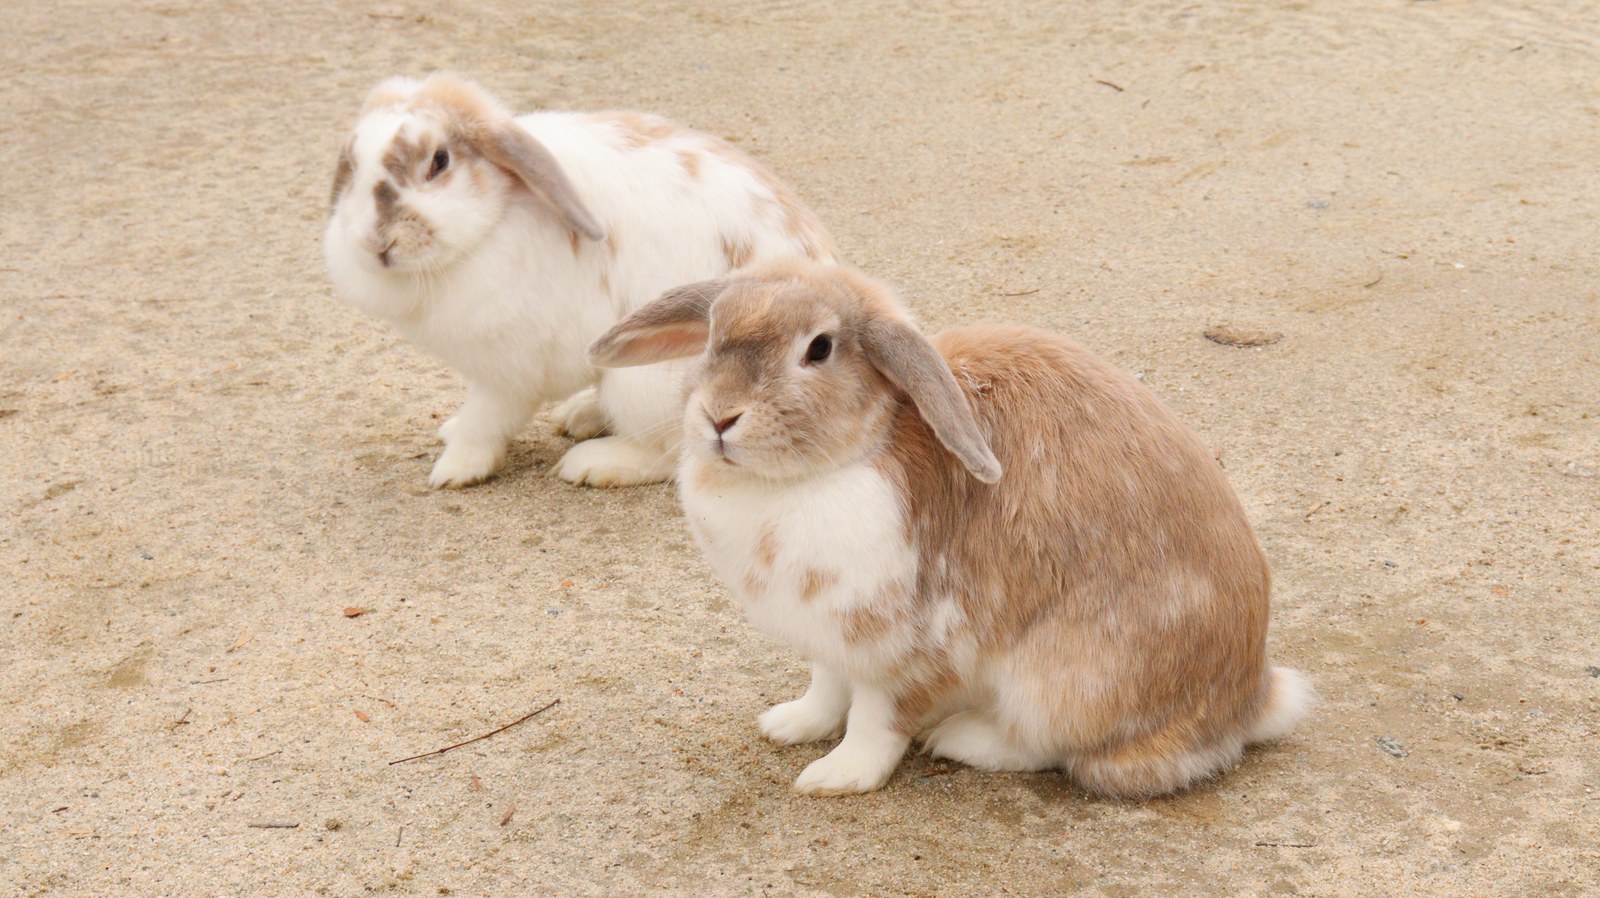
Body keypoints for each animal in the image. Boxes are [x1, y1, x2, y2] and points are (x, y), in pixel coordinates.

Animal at [323, 72, 836, 488]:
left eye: (439, 161)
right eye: (351, 166)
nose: (376, 243)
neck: (492, 224)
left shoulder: (508, 373)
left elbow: (486, 421)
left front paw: (454, 469)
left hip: (645, 384)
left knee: (675, 454)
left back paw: (593, 462)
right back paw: (582, 415)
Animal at [587, 259, 1312, 797]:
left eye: (819, 348)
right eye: (712, 334)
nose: (718, 417)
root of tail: (1250, 699)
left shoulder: (903, 648)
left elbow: (876, 720)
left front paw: (836, 777)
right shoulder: (827, 638)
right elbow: (825, 688)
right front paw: (790, 725)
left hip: (1063, 680)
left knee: (1054, 749)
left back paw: (961, 737)